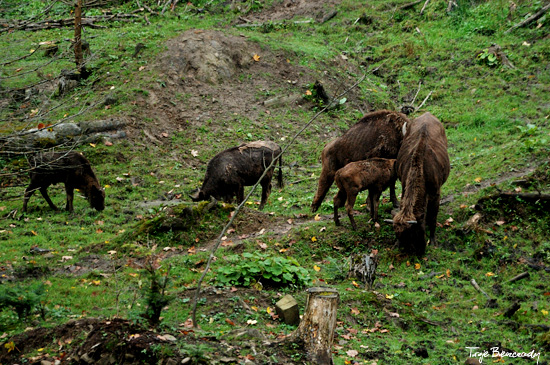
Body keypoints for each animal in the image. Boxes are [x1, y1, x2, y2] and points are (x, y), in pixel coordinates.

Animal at [390, 112, 450, 255]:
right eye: (399, 235)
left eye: (413, 232)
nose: (419, 252)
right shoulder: (404, 187)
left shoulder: (435, 193)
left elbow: (433, 217)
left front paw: (433, 240)